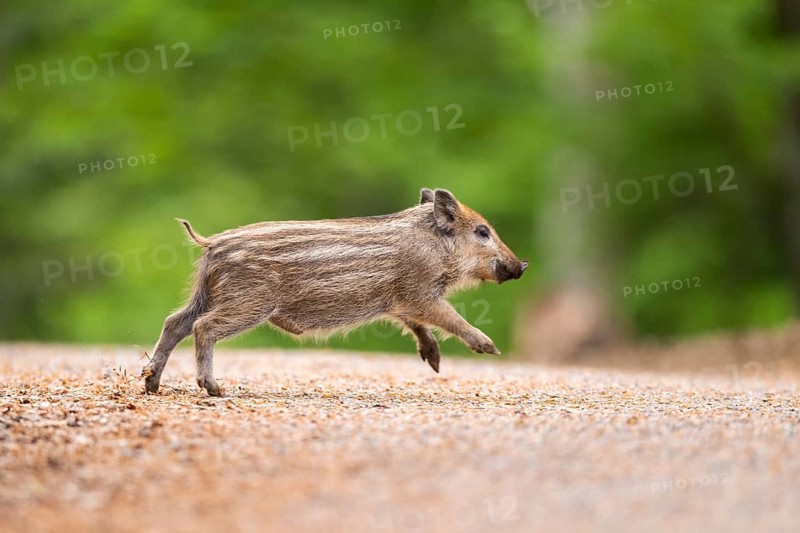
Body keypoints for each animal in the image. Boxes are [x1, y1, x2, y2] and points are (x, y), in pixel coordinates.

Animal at [141, 188, 528, 396]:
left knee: (175, 322)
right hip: (249, 301)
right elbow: (449, 317)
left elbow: (416, 325)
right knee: (202, 327)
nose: (522, 265)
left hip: (207, 295)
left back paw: (151, 385)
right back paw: (214, 388)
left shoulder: (397, 301)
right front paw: (489, 348)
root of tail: (211, 243)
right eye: (482, 232)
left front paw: (433, 362)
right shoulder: (417, 293)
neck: (434, 246)